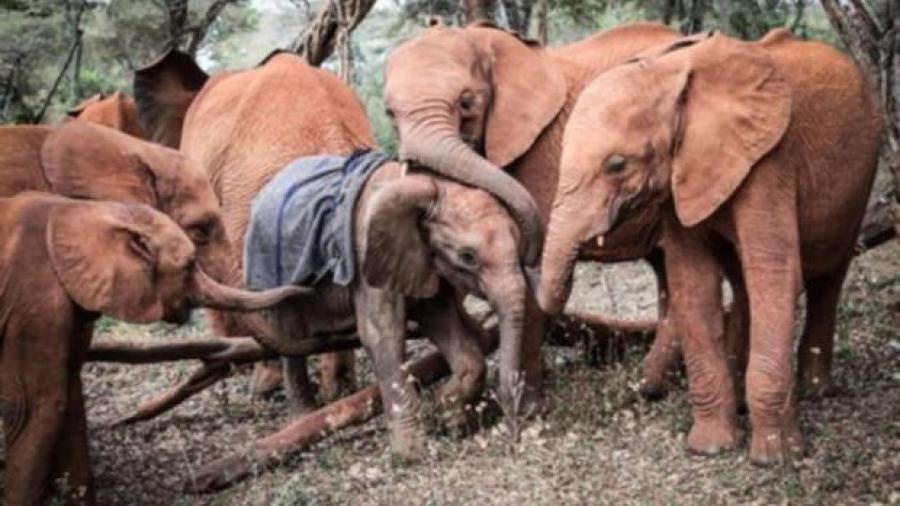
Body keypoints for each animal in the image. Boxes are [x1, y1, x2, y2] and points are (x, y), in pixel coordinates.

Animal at [0, 193, 305, 506]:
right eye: (189, 265)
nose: (304, 290)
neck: (83, 210)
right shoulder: (35, 303)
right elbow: (32, 405)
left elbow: (71, 396)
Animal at [133, 48, 540, 455]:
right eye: (468, 258)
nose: (515, 431)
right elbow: (381, 333)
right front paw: (413, 451)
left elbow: (432, 319)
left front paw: (447, 418)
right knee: (284, 325)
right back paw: (299, 408)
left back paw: (330, 393)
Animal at [537, 30, 883, 464]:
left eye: (616, 165)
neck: (669, 73)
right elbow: (693, 281)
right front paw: (711, 447)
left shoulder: (769, 160)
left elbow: (775, 273)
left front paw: (775, 458)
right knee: (744, 284)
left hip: (860, 183)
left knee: (827, 277)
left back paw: (815, 391)